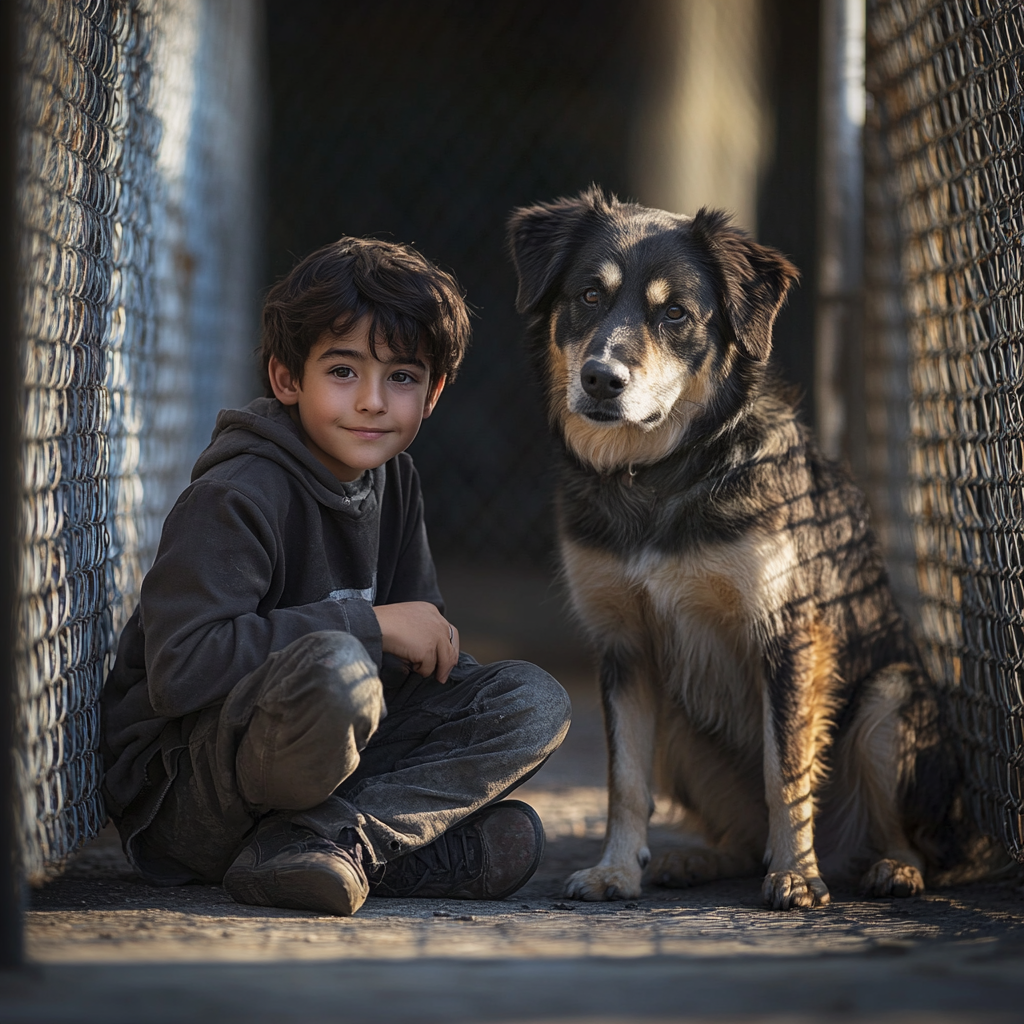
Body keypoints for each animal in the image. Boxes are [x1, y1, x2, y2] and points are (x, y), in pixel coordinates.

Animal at [507, 188, 995, 909]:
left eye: (675, 314)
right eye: (589, 295)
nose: (600, 379)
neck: (660, 473)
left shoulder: (788, 634)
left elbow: (785, 767)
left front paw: (795, 875)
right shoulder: (625, 647)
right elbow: (625, 780)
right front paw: (616, 870)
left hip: (892, 700)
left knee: (913, 841)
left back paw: (888, 868)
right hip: (682, 725)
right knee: (736, 835)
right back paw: (697, 860)